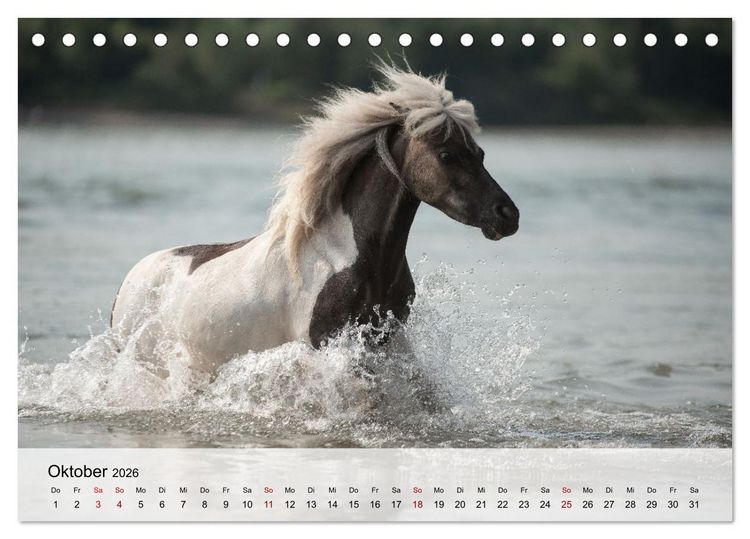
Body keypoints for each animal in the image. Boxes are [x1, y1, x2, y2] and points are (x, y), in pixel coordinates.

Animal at [110, 65, 519, 385]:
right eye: (447, 155)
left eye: (480, 153)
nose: (507, 215)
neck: (353, 257)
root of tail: (131, 278)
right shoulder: (327, 346)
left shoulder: (389, 341)